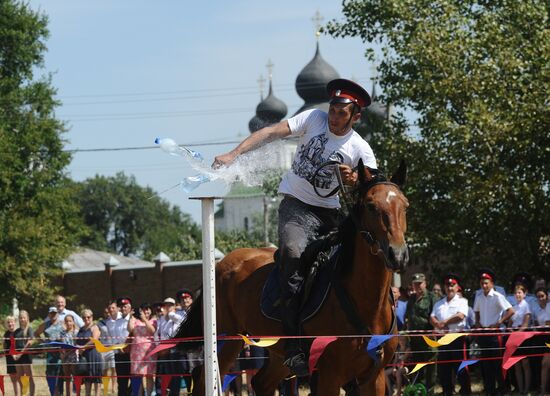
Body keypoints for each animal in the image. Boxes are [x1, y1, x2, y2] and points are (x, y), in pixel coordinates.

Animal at [177, 159, 410, 394]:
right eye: (371, 205)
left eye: (405, 205)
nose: (397, 254)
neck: (366, 302)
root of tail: (221, 264)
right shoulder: (329, 375)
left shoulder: (374, 377)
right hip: (226, 341)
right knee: (202, 379)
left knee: (261, 382)